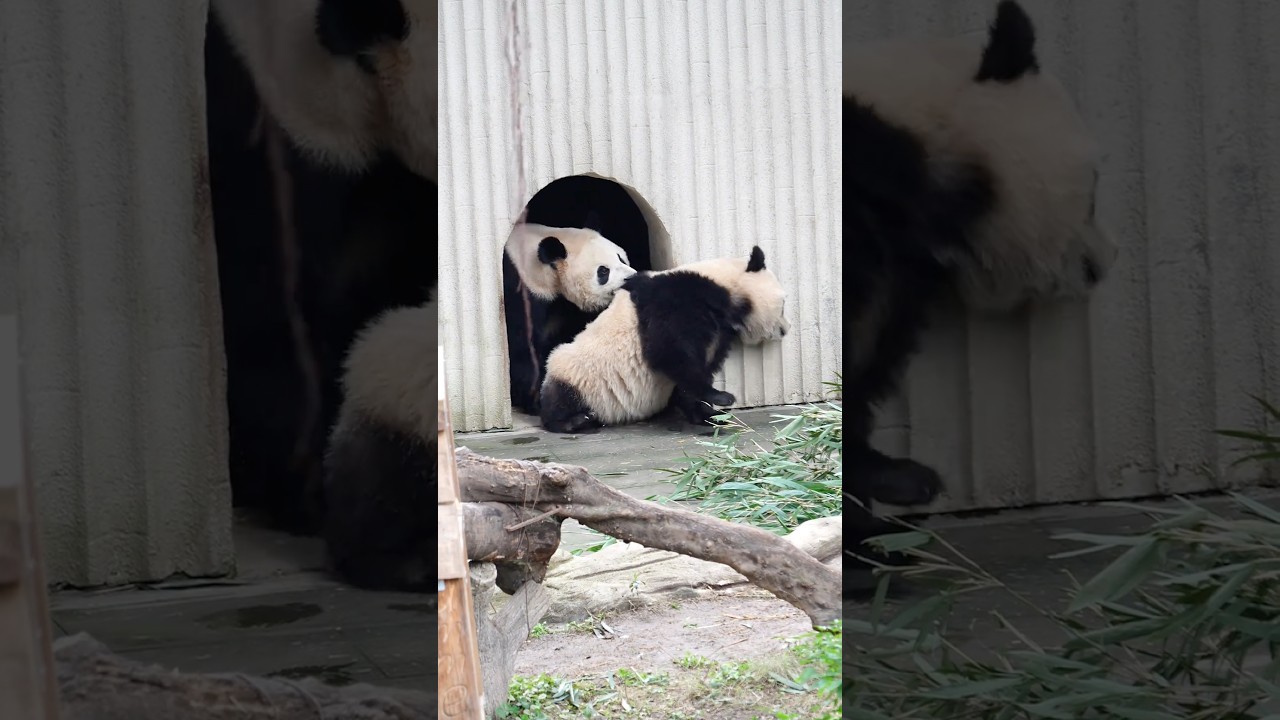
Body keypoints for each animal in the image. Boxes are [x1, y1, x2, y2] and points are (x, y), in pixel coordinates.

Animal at [539, 246, 790, 435]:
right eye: (784, 305)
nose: (786, 330)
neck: (722, 285)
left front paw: (708, 414)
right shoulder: (675, 300)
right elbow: (669, 351)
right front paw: (722, 398)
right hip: (576, 375)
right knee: (560, 398)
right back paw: (575, 420)